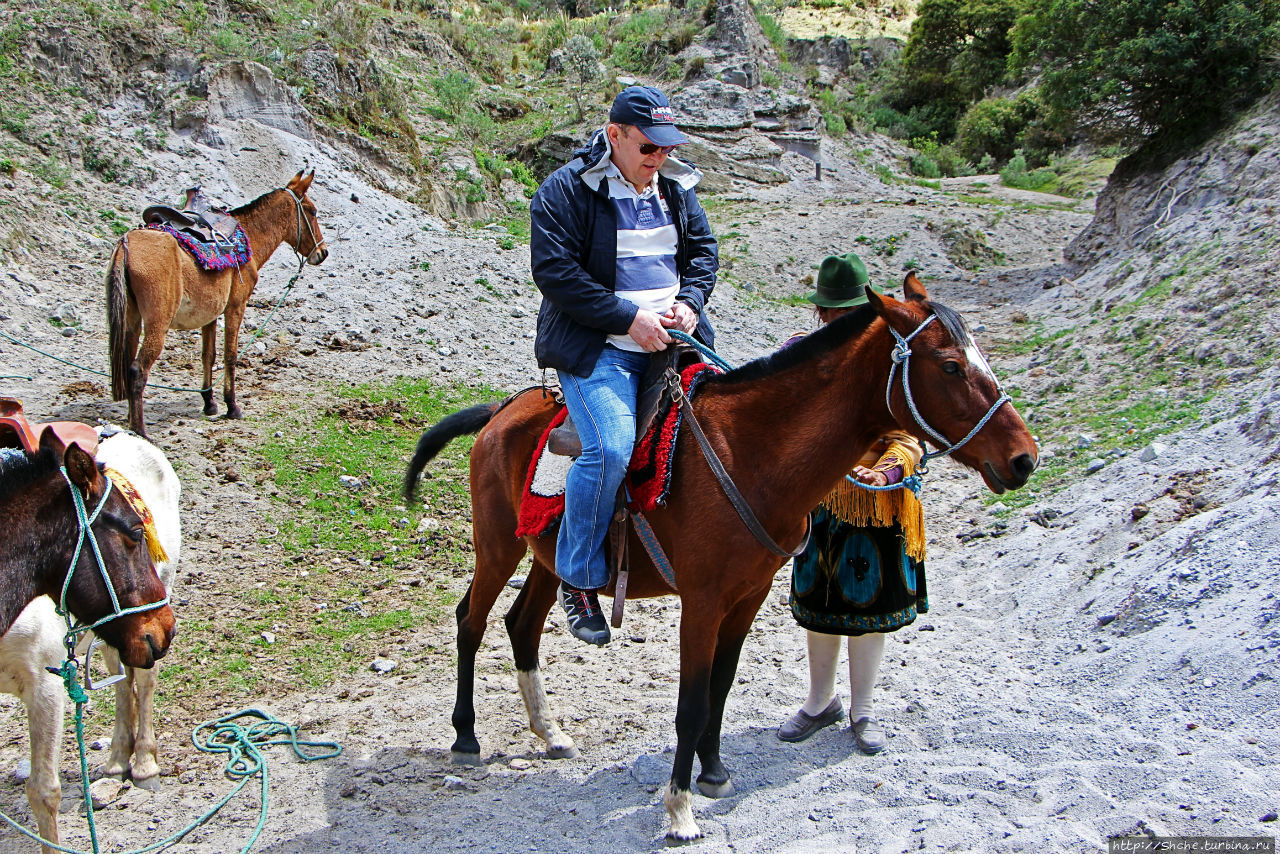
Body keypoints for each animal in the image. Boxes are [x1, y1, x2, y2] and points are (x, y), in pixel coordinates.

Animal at [106, 170, 327, 437]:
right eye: (312, 211)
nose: (323, 252)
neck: (248, 237)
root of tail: (126, 244)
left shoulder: (210, 315)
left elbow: (208, 356)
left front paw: (209, 403)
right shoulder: (235, 307)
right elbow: (230, 355)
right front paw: (232, 406)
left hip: (131, 322)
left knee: (128, 366)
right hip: (156, 326)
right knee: (138, 370)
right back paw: (140, 432)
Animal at [404, 275, 1034, 839]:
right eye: (950, 366)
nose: (1024, 458)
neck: (751, 453)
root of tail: (500, 411)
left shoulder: (747, 596)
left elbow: (721, 688)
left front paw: (713, 774)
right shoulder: (703, 602)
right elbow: (690, 702)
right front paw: (679, 810)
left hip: (547, 555)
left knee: (523, 624)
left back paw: (550, 731)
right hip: (498, 546)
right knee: (471, 621)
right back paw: (466, 737)